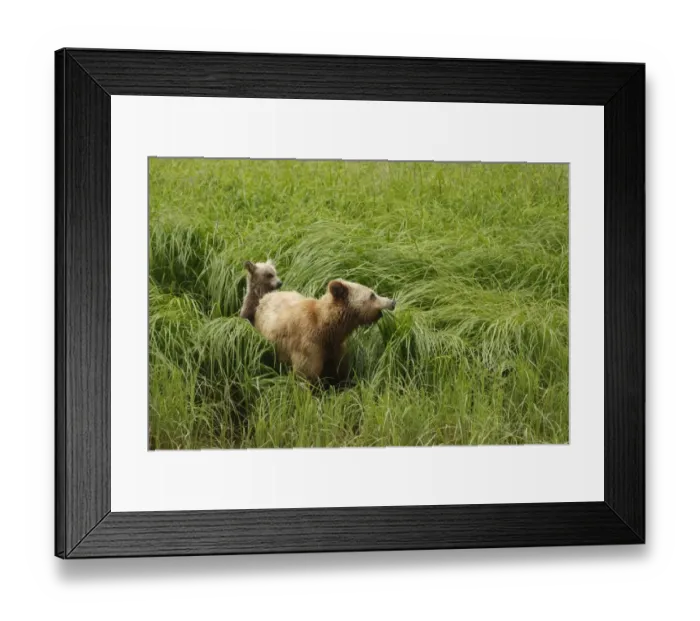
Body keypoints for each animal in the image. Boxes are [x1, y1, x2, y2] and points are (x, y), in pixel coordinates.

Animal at [254, 278, 396, 383]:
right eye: (372, 295)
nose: (392, 301)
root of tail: (266, 296)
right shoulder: (308, 345)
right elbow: (306, 374)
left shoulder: (336, 347)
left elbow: (340, 371)